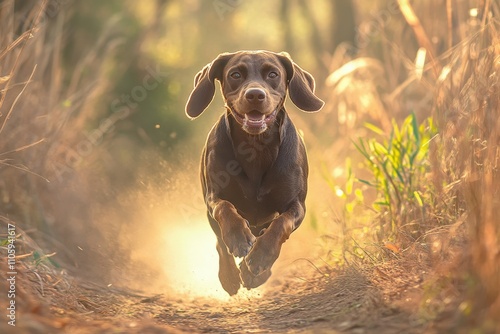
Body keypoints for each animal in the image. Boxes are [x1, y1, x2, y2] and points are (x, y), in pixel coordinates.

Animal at [185, 49, 324, 294]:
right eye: (235, 74)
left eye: (273, 74)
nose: (255, 95)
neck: (256, 148)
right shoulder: (214, 197)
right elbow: (225, 209)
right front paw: (239, 239)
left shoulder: (297, 205)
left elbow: (281, 225)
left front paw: (260, 259)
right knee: (220, 242)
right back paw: (230, 275)